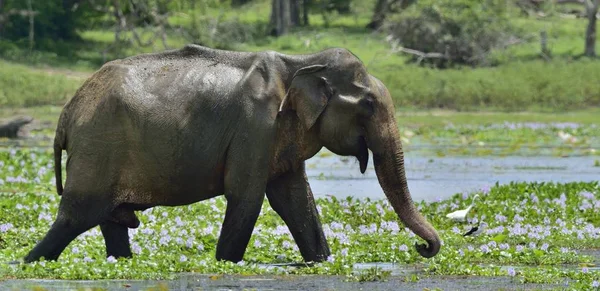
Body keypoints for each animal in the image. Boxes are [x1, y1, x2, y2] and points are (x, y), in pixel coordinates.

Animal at [23, 45, 440, 264]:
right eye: (369, 105)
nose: (423, 248)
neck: (301, 62)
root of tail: (66, 113)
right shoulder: (255, 126)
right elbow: (247, 197)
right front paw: (225, 263)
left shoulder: (275, 136)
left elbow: (294, 199)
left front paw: (321, 262)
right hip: (99, 147)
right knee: (76, 217)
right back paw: (29, 262)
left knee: (110, 221)